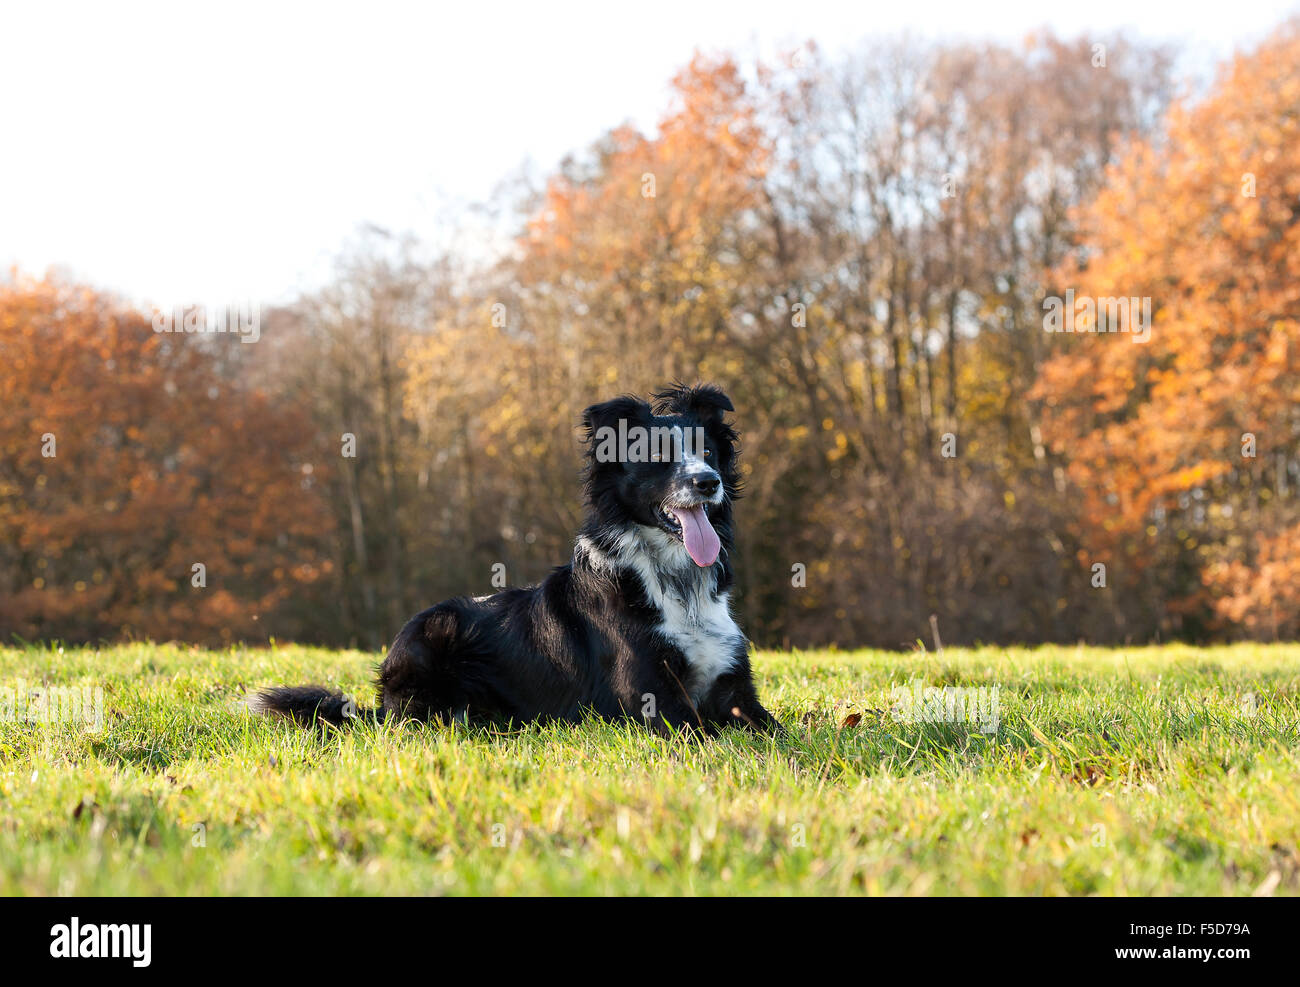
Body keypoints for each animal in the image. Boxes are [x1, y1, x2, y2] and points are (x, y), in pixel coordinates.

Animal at [253, 382, 780, 738]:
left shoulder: (735, 688)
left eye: (708, 451)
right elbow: (715, 738)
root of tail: (384, 695)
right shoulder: (654, 699)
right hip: (434, 630)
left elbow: (776, 731)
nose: (708, 481)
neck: (675, 582)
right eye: (657, 455)